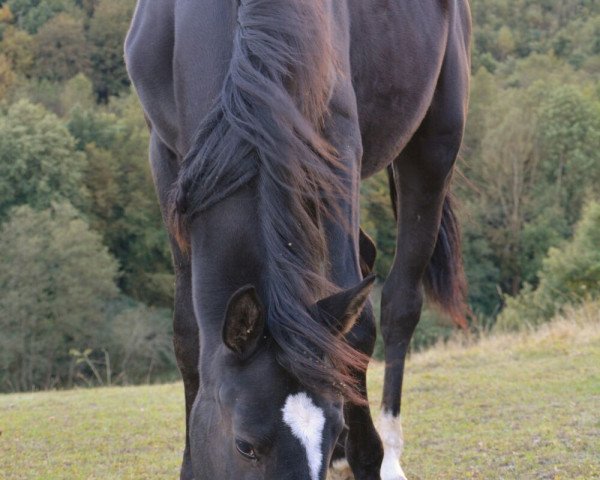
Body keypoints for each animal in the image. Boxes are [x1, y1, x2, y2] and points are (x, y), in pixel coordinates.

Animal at [124, 0, 472, 480]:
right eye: (245, 445)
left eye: (333, 429)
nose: (342, 443)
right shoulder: (166, 156)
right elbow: (187, 334)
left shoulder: (339, 148)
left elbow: (358, 330)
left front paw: (366, 455)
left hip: (434, 144)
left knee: (400, 302)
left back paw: (389, 453)